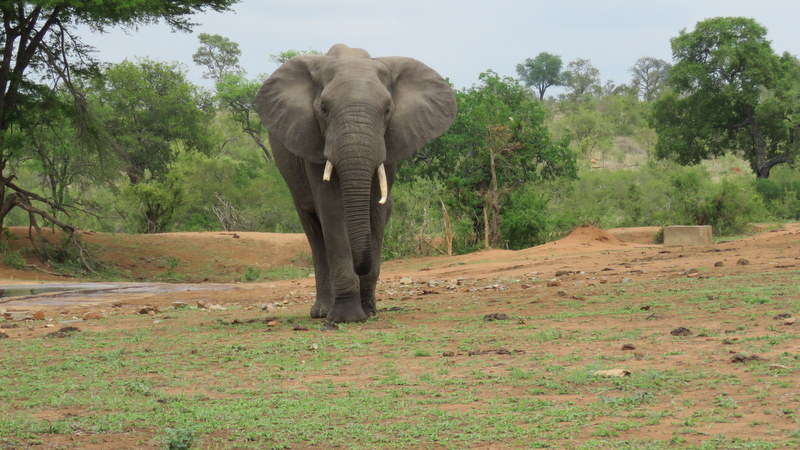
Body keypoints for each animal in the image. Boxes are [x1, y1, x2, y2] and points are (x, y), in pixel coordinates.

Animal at [255, 44, 456, 323]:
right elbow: (331, 209)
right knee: (314, 230)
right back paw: (322, 312)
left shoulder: (389, 142)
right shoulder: (314, 141)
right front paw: (346, 317)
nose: (360, 267)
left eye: (387, 110)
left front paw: (368, 312)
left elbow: (376, 209)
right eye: (324, 109)